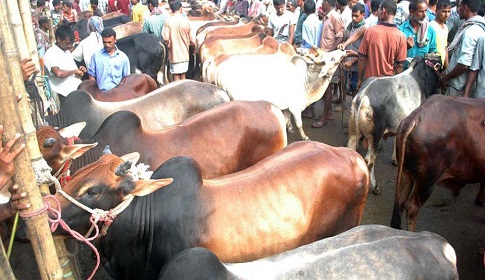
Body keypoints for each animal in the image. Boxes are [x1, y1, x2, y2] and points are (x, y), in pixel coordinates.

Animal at [346, 54, 440, 195]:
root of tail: (362, 96)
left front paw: (395, 159)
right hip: (376, 137)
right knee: (370, 162)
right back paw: (375, 187)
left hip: (354, 133)